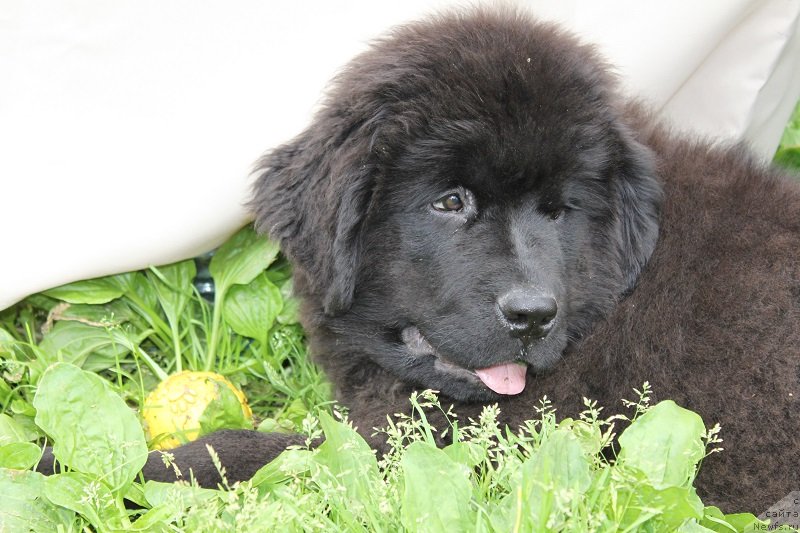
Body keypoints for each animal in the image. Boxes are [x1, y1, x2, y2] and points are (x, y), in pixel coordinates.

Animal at [145, 9, 800, 512]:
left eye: (558, 210)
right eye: (450, 201)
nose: (533, 316)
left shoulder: (461, 448)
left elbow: (286, 452)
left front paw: (162, 465)